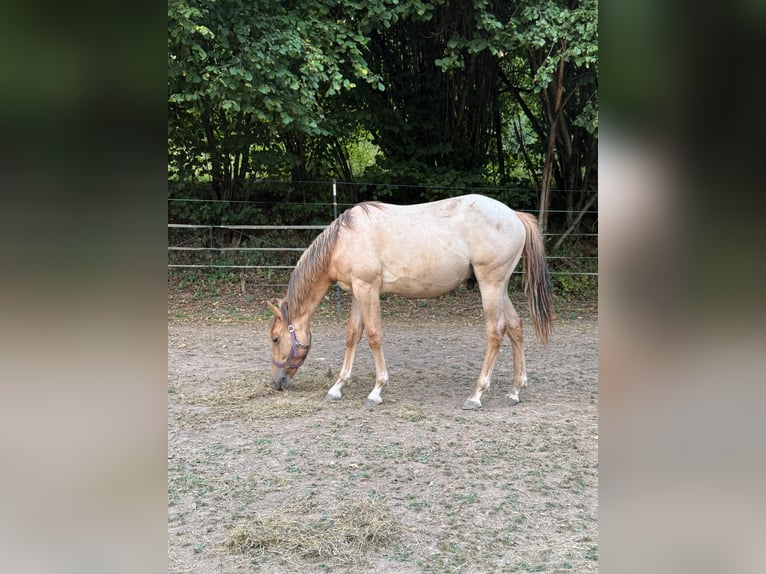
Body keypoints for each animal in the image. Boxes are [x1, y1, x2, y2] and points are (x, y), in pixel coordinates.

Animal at [267, 194, 553, 410]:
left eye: (275, 338)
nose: (277, 383)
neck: (343, 240)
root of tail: (515, 216)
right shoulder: (357, 292)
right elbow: (352, 335)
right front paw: (337, 387)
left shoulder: (367, 288)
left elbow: (374, 335)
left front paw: (377, 390)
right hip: (499, 287)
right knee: (515, 327)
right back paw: (515, 390)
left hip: (491, 285)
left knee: (496, 332)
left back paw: (476, 395)